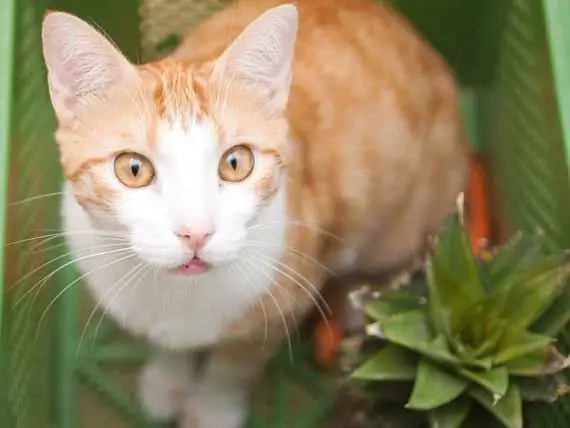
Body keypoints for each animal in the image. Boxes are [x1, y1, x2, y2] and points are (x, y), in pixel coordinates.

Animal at [40, 0, 466, 424]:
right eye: (133, 169)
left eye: (235, 163)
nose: (196, 233)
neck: (182, 296)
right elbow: (169, 344)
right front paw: (167, 380)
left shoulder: (280, 306)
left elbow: (232, 368)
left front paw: (212, 409)